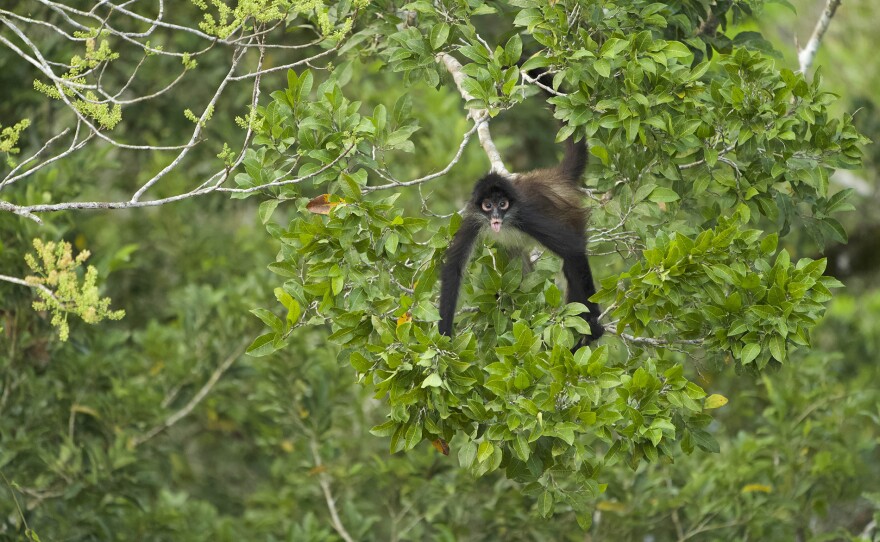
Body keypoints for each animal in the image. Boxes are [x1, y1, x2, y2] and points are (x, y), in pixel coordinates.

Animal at [437, 133, 605, 347]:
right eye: (488, 205)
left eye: (502, 204)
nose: (496, 217)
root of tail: (554, 178)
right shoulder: (471, 219)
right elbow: (454, 268)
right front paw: (444, 337)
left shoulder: (525, 214)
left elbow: (573, 249)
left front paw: (594, 319)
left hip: (573, 218)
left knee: (571, 263)